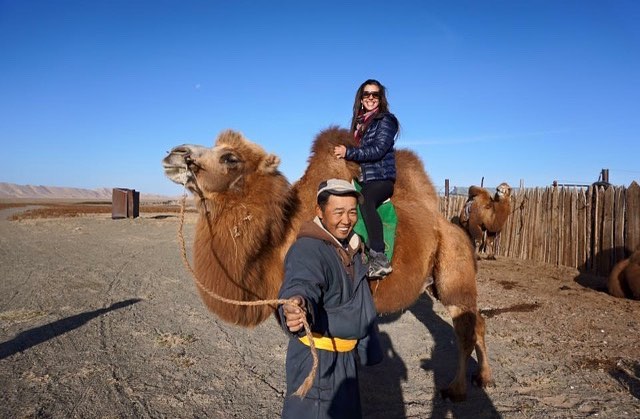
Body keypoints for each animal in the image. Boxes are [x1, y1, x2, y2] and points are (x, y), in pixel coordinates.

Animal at [162, 127, 492, 401]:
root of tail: (455, 228)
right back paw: (483, 378)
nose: (174, 153)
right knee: (478, 322)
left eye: (230, 157)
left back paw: (456, 390)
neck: (283, 233)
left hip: (454, 272)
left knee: (465, 327)